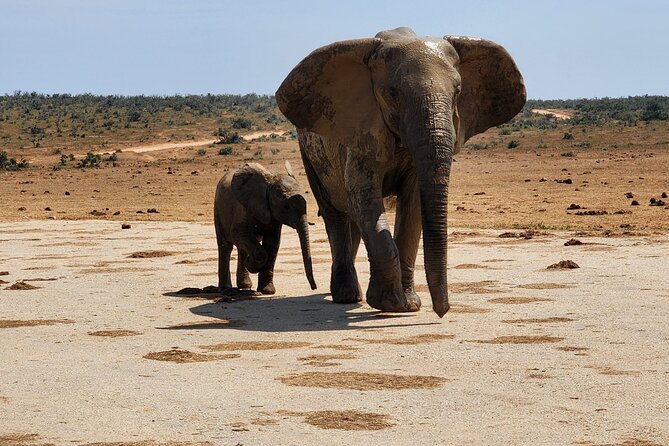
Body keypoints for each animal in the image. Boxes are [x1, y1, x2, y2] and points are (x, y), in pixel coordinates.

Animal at [215, 162, 318, 294]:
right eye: (285, 207)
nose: (314, 288)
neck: (271, 182)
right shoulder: (243, 206)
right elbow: (238, 233)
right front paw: (251, 263)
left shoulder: (273, 215)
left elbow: (272, 244)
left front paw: (267, 290)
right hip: (218, 207)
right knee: (226, 246)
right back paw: (226, 287)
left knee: (242, 247)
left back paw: (245, 285)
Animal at [274, 27, 524, 318]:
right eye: (393, 94)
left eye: (458, 91)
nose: (442, 311)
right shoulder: (362, 130)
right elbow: (364, 196)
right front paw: (391, 304)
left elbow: (412, 203)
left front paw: (409, 305)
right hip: (308, 152)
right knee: (335, 214)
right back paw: (346, 296)